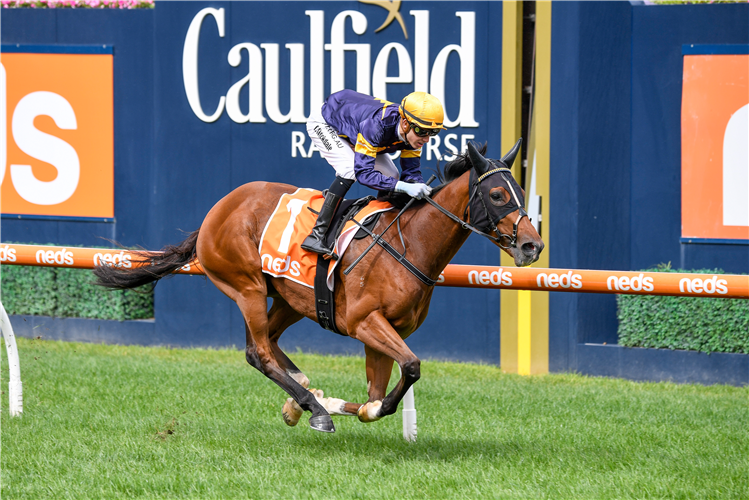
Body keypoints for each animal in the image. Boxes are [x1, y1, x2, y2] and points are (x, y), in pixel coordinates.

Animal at [95, 141, 544, 434]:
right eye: (497, 194)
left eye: (522, 192)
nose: (532, 245)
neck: (409, 245)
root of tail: (217, 209)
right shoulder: (364, 322)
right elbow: (410, 369)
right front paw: (330, 407)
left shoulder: (386, 330)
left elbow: (376, 396)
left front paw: (344, 405)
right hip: (246, 287)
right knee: (259, 353)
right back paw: (312, 406)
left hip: (291, 299)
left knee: (268, 344)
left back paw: (305, 396)